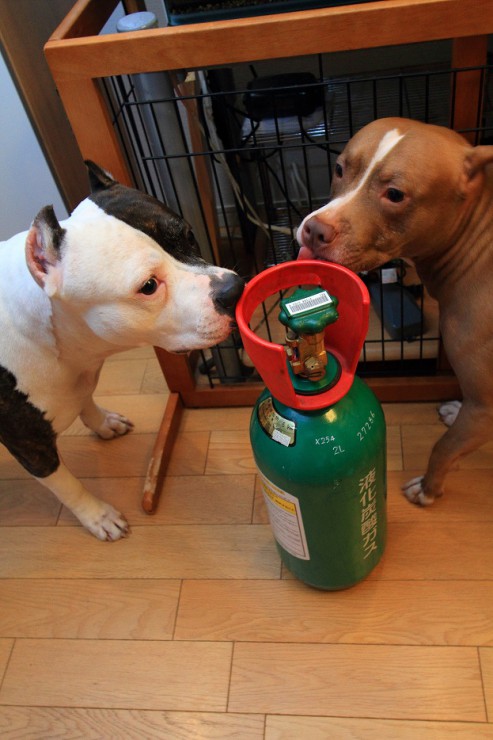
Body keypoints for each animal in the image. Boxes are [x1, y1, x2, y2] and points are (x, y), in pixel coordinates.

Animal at [0, 161, 244, 540]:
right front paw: (98, 515)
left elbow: (85, 397)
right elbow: (66, 484)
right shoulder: (30, 445)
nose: (234, 290)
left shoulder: (80, 374)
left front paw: (102, 422)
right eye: (148, 286)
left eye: (189, 235)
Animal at [297, 117, 493, 506]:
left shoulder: (486, 406)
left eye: (396, 195)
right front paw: (454, 413)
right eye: (339, 169)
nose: (314, 230)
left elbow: (445, 447)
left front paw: (429, 489)